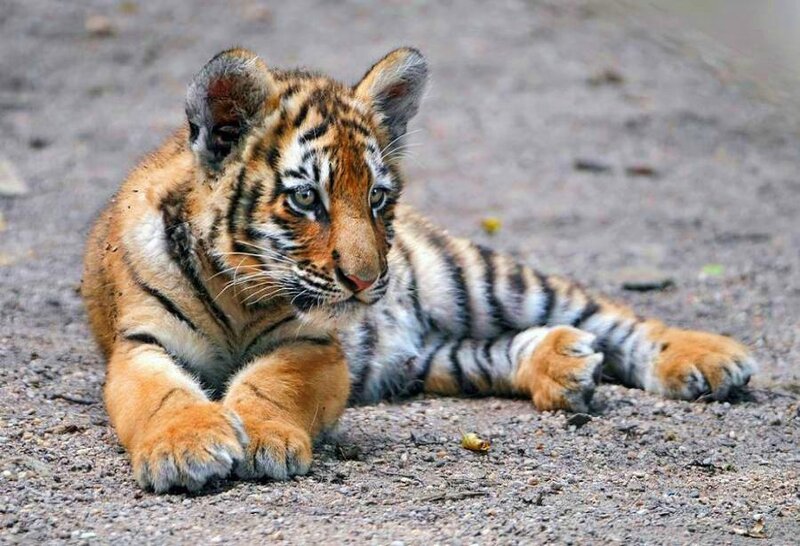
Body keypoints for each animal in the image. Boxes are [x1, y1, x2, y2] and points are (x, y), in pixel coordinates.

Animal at [81, 47, 756, 493]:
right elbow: (162, 394)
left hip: (478, 277)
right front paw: (186, 447)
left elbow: (272, 381)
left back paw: (707, 360)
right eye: (306, 199)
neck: (237, 291)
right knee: (500, 351)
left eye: (377, 198)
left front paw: (265, 438)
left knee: (613, 316)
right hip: (429, 359)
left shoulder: (313, 345)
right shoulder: (141, 342)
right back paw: (563, 366)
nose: (363, 280)